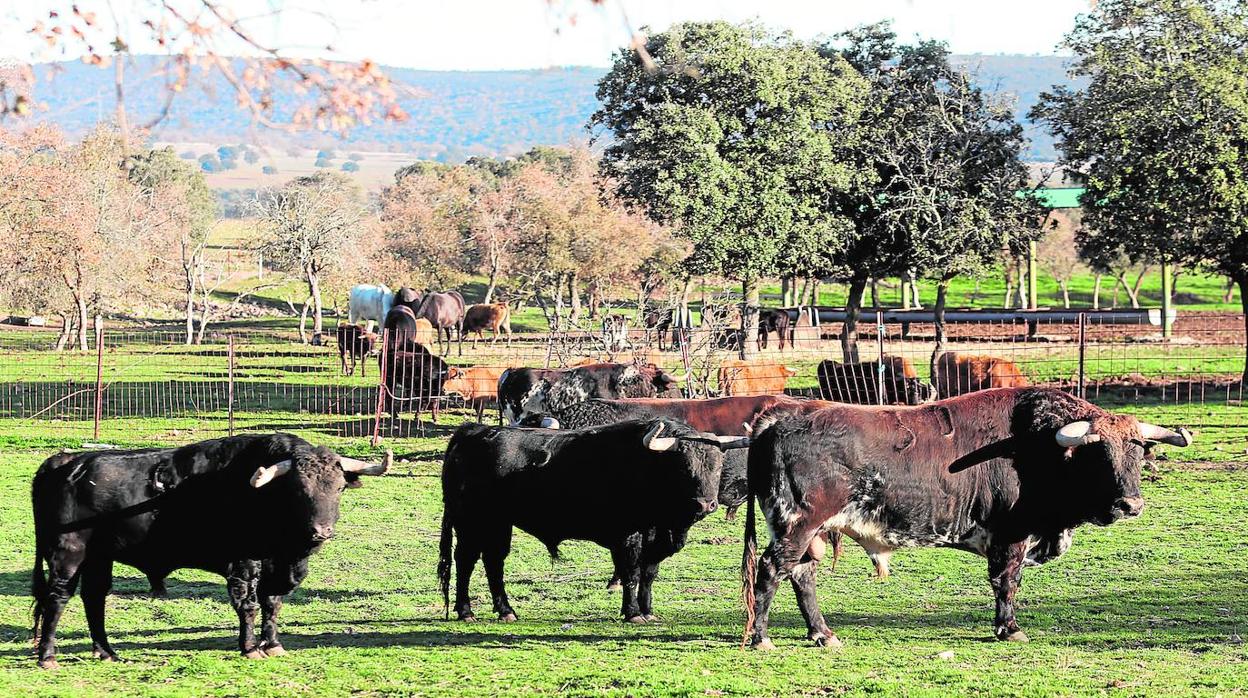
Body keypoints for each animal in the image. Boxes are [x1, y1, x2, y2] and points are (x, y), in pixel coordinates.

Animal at [30, 434, 389, 669]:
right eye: (299, 488)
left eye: (339, 487)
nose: (322, 531)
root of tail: (65, 462)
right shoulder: (244, 564)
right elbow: (249, 605)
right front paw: (250, 648)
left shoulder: (276, 568)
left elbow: (272, 605)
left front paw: (273, 645)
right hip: (69, 554)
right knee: (57, 598)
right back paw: (47, 657)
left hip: (99, 558)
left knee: (94, 598)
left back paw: (107, 652)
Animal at [439, 417, 743, 624]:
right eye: (683, 466)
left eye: (716, 465)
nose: (705, 504)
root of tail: (472, 431)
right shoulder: (628, 537)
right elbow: (631, 574)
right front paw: (633, 613)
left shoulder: (655, 539)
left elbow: (648, 574)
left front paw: (648, 611)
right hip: (471, 522)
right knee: (466, 561)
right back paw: (465, 611)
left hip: (498, 524)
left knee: (494, 562)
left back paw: (505, 611)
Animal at [738, 387, 1188, 649]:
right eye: (1099, 454)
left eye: (1137, 451)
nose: (1131, 504)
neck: (1035, 447)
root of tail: (778, 416)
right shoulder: (1011, 536)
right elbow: (1006, 582)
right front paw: (1009, 628)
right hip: (797, 524)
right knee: (771, 570)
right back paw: (761, 637)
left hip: (808, 531)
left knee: (801, 576)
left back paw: (823, 634)